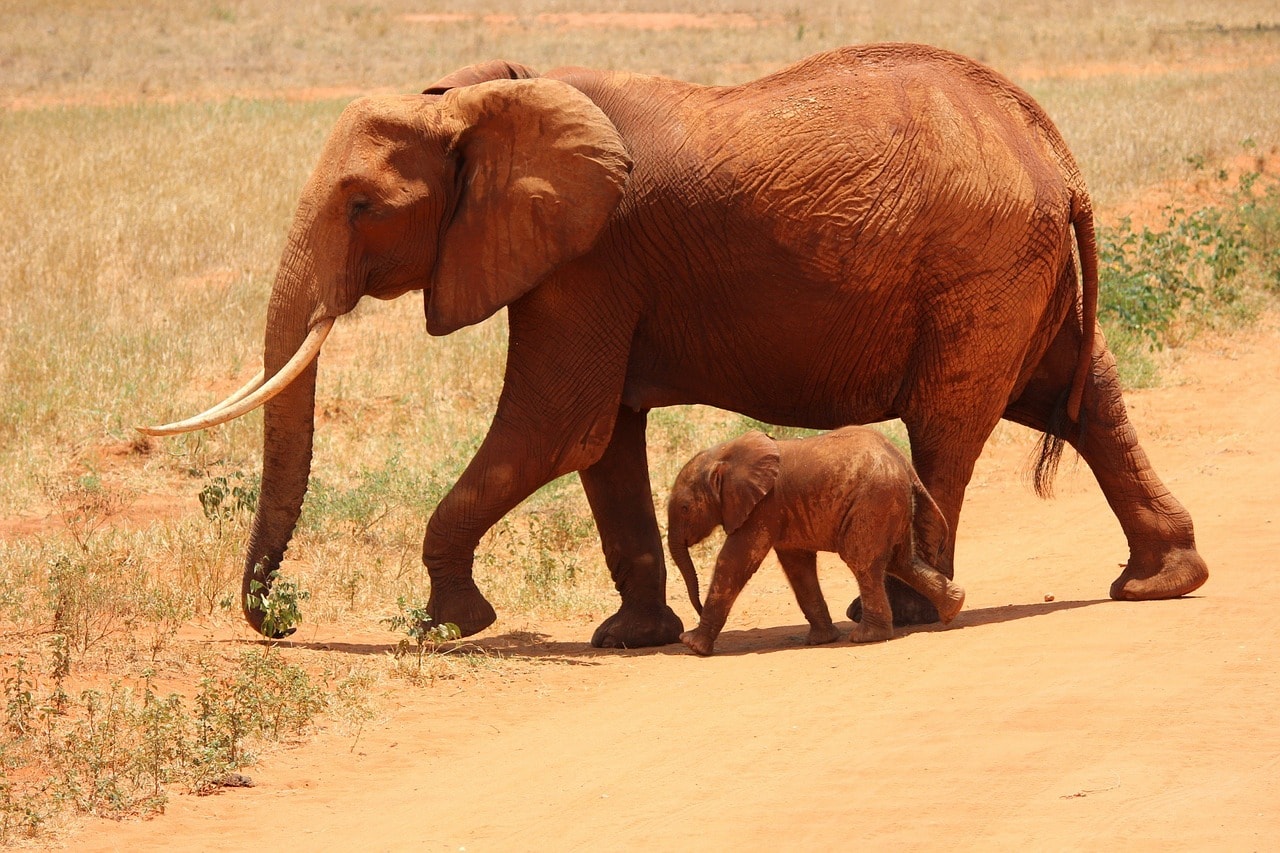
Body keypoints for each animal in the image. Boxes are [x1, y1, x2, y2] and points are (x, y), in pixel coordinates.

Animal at [670, 427, 962, 653]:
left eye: (684, 508)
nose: (696, 609)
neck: (724, 455)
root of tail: (904, 464)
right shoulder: (782, 512)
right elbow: (797, 567)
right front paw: (822, 640)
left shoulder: (763, 507)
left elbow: (734, 562)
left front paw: (692, 645)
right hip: (890, 503)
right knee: (901, 562)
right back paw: (954, 607)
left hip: (873, 502)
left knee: (863, 563)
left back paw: (866, 637)